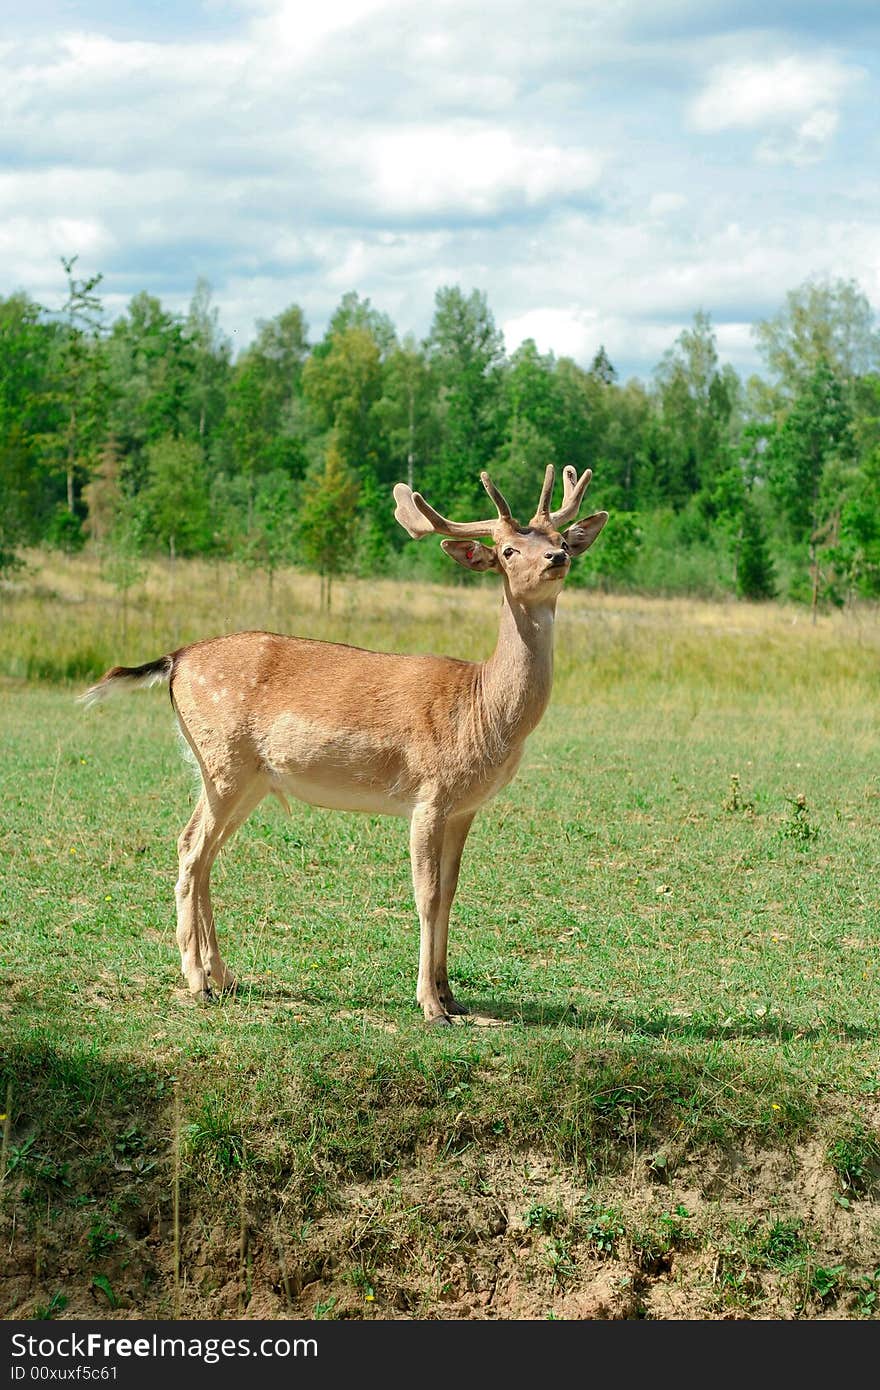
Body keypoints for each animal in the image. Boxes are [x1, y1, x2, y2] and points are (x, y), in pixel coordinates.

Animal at [80, 464, 603, 1023]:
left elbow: (451, 893)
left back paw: (225, 977)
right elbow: (426, 894)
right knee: (192, 848)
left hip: (242, 778)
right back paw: (198, 980)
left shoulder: (466, 807)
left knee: (202, 853)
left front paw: (451, 995)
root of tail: (175, 659)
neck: (481, 711)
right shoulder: (430, 794)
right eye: (507, 550)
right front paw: (429, 1005)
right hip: (223, 762)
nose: (558, 558)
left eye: (558, 539)